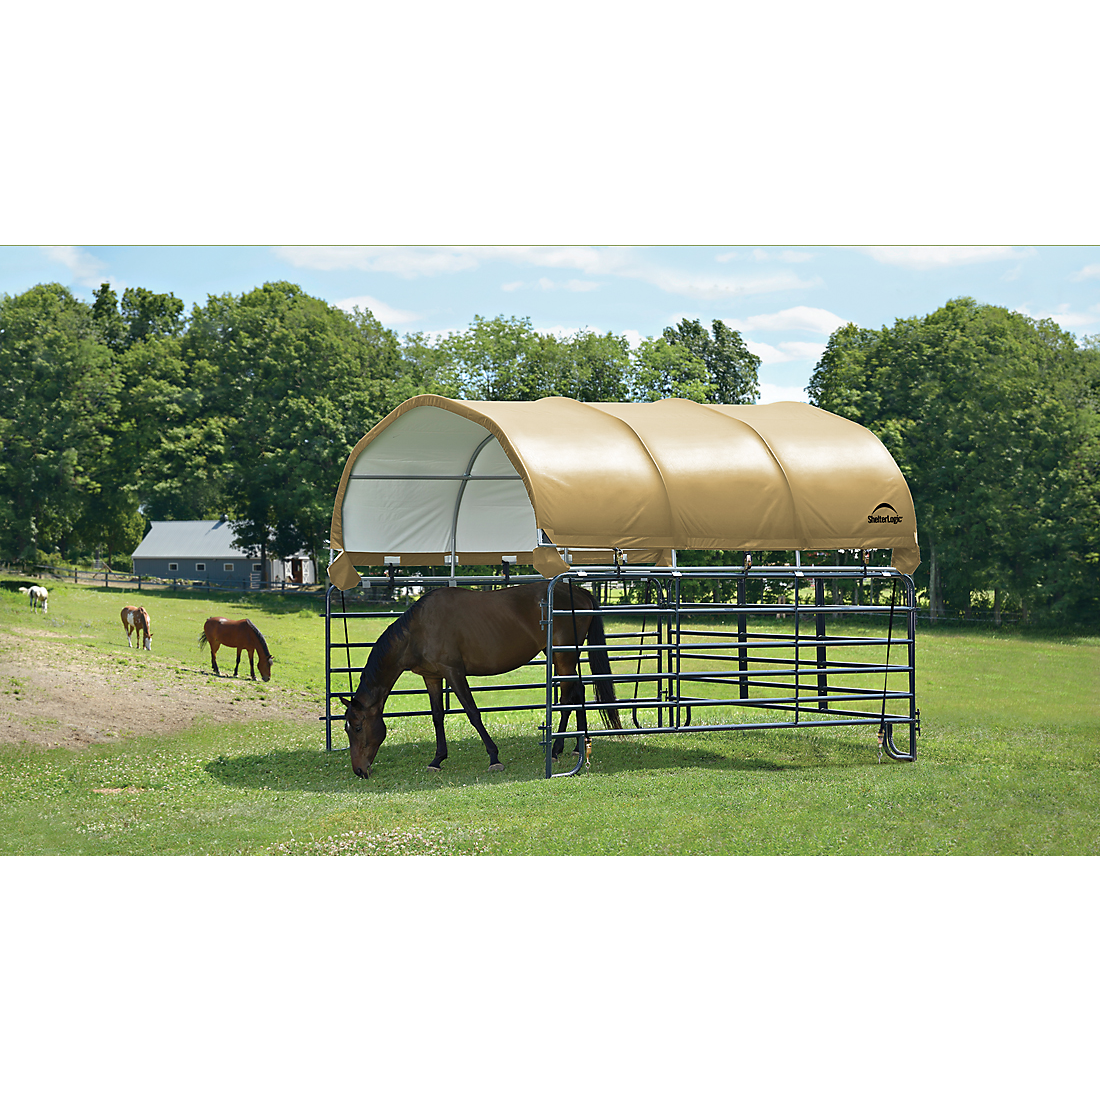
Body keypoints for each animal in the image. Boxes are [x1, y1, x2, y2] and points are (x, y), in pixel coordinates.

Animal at [338, 580, 622, 779]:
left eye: (359, 727)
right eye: (347, 729)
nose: (359, 771)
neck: (418, 629)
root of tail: (581, 592)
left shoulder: (454, 673)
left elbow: (473, 713)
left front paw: (494, 758)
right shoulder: (432, 677)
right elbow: (437, 716)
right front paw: (437, 760)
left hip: (564, 657)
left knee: (567, 696)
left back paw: (556, 749)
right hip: (563, 657)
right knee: (577, 691)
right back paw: (576, 746)